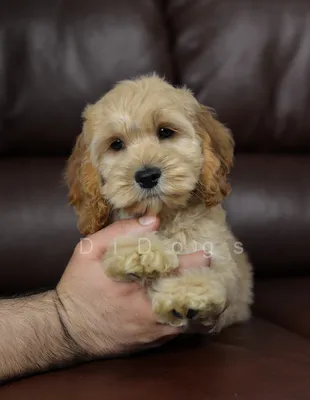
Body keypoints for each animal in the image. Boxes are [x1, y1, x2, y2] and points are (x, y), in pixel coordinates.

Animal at [65, 75, 252, 332]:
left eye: (165, 132)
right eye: (116, 144)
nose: (147, 176)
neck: (165, 216)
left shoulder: (222, 257)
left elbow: (223, 275)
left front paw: (187, 290)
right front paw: (141, 249)